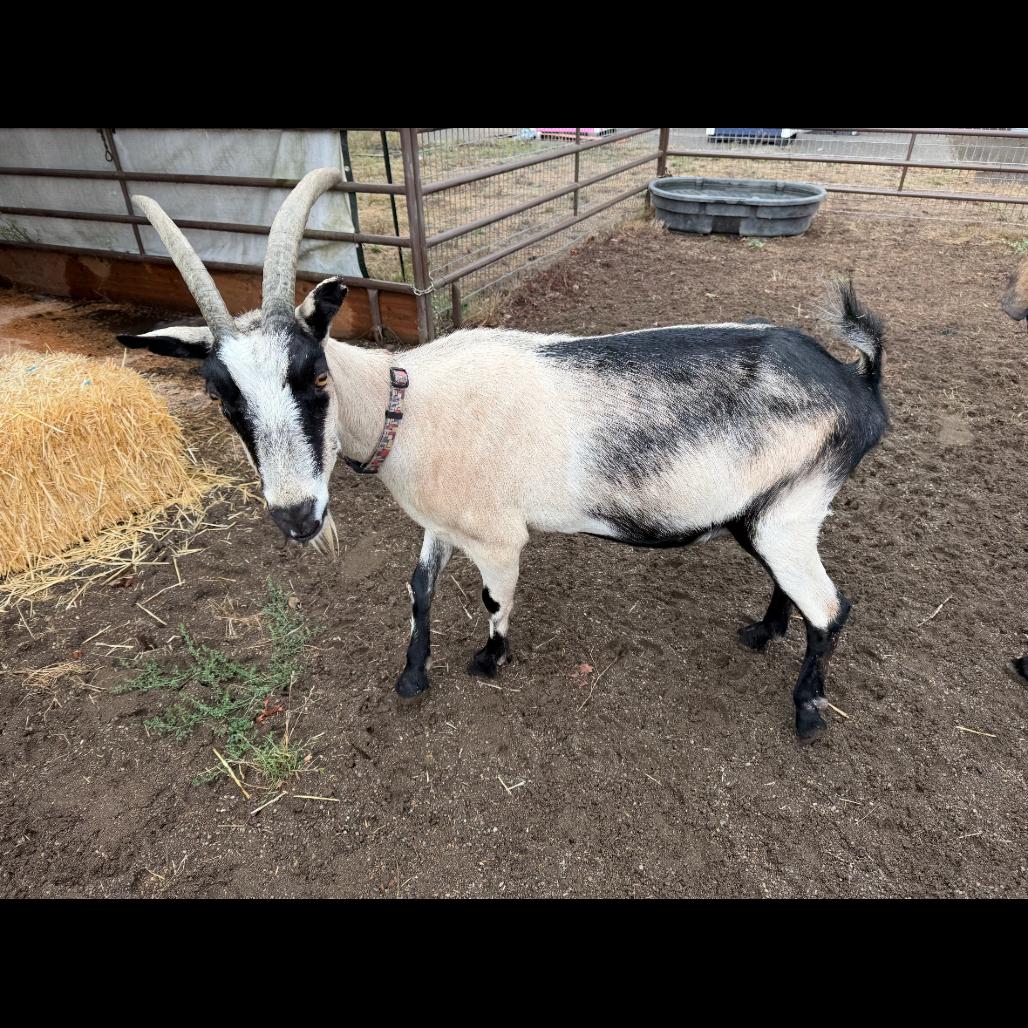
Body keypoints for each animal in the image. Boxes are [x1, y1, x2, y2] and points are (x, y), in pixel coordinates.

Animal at [118, 168, 889, 740]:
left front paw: (489, 658)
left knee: (832, 607)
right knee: (793, 586)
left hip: (791, 508)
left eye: (314, 375)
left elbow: (493, 595)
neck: (410, 406)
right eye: (221, 397)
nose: (297, 517)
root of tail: (859, 384)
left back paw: (808, 711)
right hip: (772, 509)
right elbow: (418, 589)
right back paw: (763, 630)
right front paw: (411, 675)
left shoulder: (495, 535)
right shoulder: (440, 521)